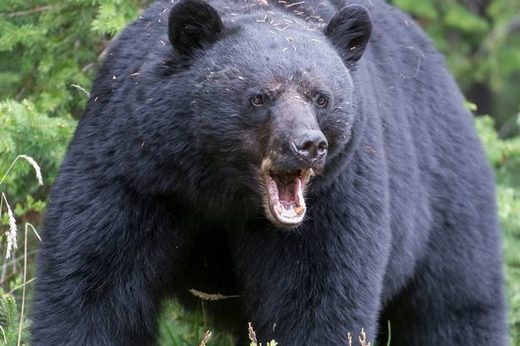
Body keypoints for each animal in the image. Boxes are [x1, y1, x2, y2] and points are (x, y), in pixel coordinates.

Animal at [30, 0, 506, 344]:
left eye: (321, 97)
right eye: (259, 97)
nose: (309, 145)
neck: (223, 192)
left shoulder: (335, 198)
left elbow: (317, 299)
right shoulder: (134, 168)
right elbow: (94, 284)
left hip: (445, 197)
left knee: (456, 306)